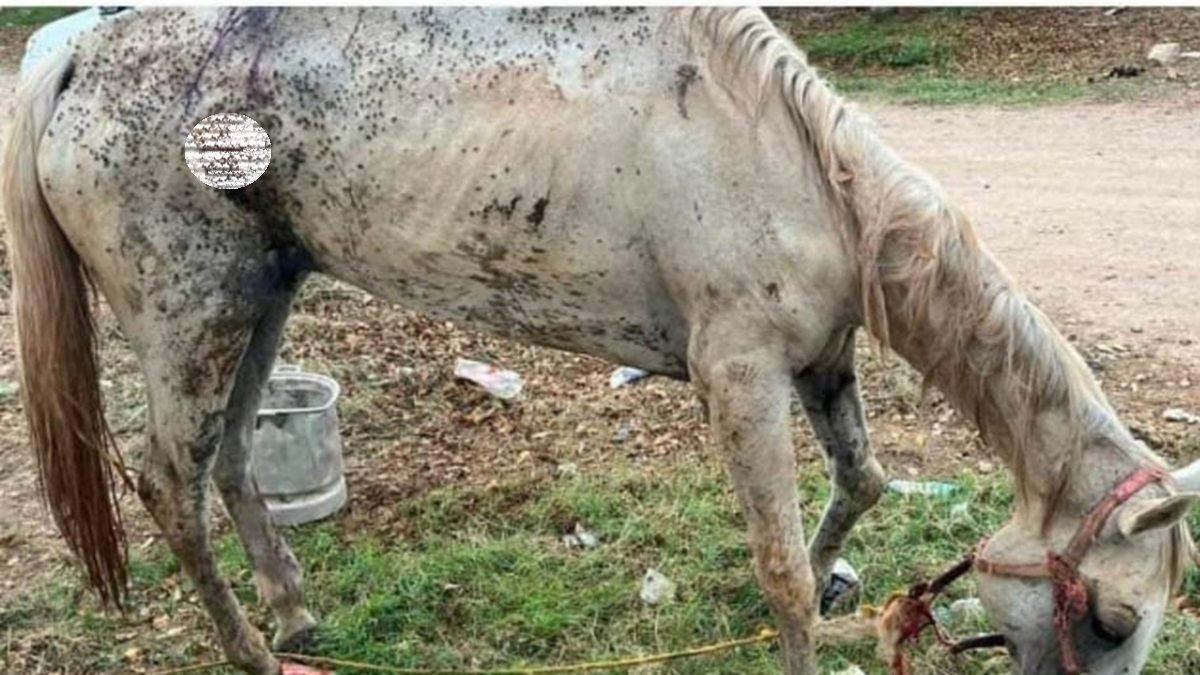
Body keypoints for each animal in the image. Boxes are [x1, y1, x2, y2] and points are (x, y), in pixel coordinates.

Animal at [4, 7, 1197, 675]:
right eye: (1111, 617)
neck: (795, 163)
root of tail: (74, 51)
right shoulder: (738, 374)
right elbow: (778, 568)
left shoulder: (817, 358)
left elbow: (858, 482)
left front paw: (835, 574)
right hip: (191, 314)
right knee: (169, 482)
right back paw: (251, 651)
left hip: (266, 293)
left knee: (236, 460)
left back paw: (294, 617)